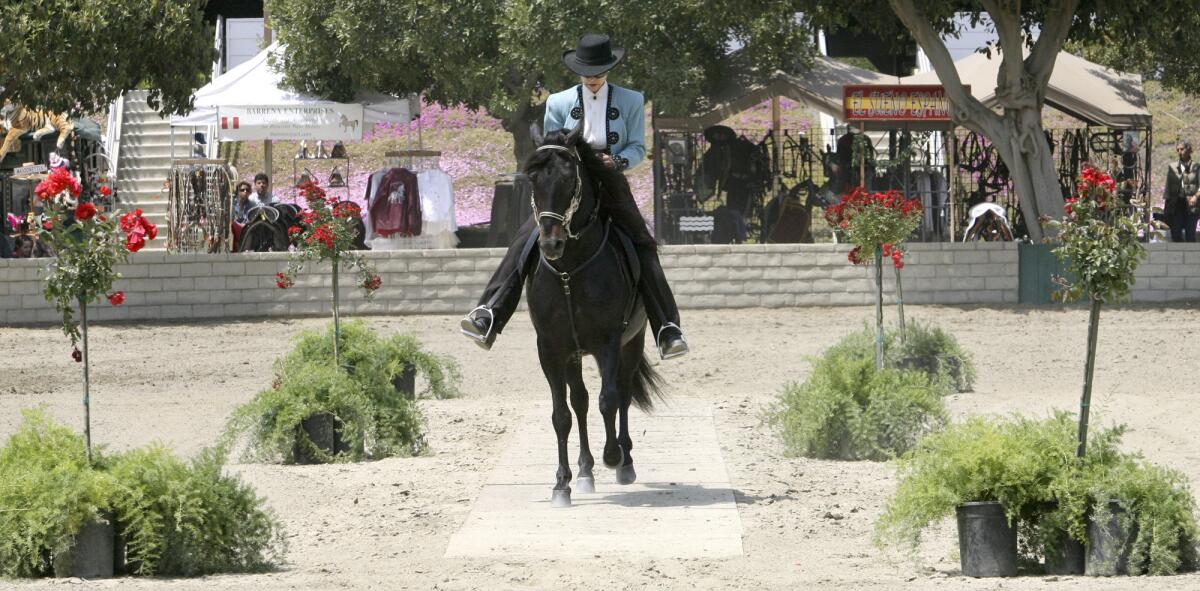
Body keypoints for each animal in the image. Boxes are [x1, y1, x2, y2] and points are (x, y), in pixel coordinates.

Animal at [528, 124, 667, 506]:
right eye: (532, 179)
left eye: (570, 179)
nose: (551, 244)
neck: (570, 271)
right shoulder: (551, 349)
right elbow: (562, 414)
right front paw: (562, 483)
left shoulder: (609, 341)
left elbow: (609, 400)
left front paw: (614, 457)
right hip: (575, 354)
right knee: (580, 401)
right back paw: (585, 470)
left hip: (632, 343)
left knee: (621, 394)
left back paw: (624, 461)